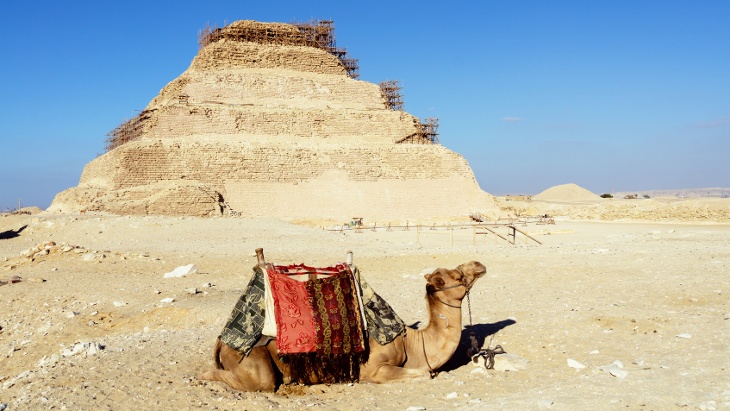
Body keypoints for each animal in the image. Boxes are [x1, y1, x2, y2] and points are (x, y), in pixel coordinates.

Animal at [196, 260, 486, 392]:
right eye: (457, 275)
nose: (478, 265)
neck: (412, 342)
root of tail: (221, 340)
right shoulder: (373, 369)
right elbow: (426, 373)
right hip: (250, 358)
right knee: (259, 381)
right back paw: (204, 375)